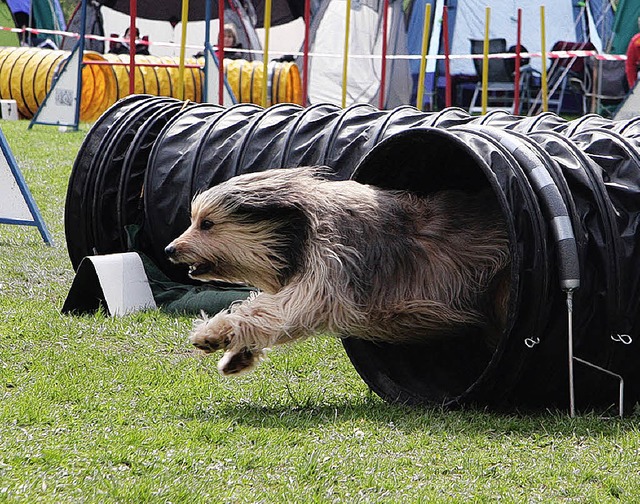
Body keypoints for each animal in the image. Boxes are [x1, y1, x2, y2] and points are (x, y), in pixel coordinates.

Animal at [165, 167, 510, 376]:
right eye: (196, 221)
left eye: (207, 223)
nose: (170, 250)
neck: (301, 229)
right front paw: (237, 356)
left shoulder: (324, 279)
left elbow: (271, 309)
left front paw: (213, 333)